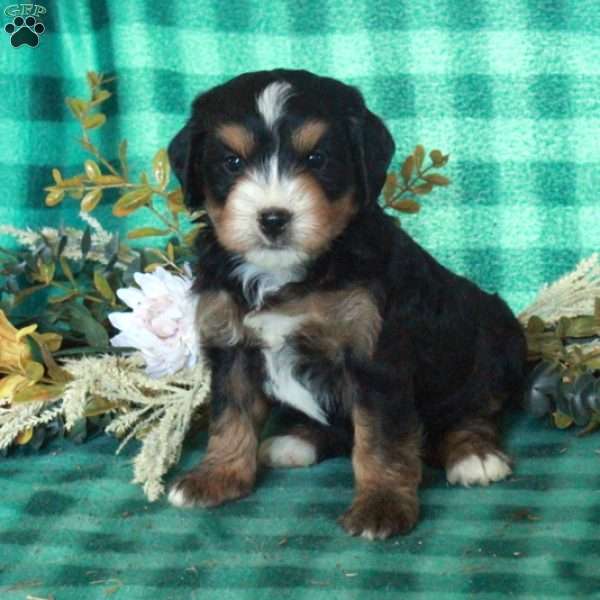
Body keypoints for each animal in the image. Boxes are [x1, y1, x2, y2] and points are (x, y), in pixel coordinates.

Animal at [164, 69, 524, 540]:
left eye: (317, 158)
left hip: (493, 343)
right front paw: (216, 476)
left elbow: (379, 439)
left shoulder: (374, 355)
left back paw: (474, 454)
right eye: (233, 163)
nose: (273, 218)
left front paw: (381, 505)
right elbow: (231, 417)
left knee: (475, 409)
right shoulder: (231, 343)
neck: (286, 274)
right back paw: (297, 440)